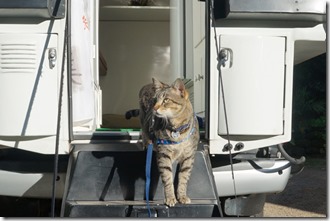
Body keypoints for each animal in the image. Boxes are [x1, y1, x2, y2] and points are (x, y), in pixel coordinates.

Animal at [139, 77, 200, 207]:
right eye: (155, 100)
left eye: (166, 100)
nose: (154, 108)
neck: (178, 130)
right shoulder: (164, 155)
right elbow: (167, 178)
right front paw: (170, 198)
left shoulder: (189, 156)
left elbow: (183, 178)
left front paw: (182, 196)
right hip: (144, 121)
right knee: (145, 133)